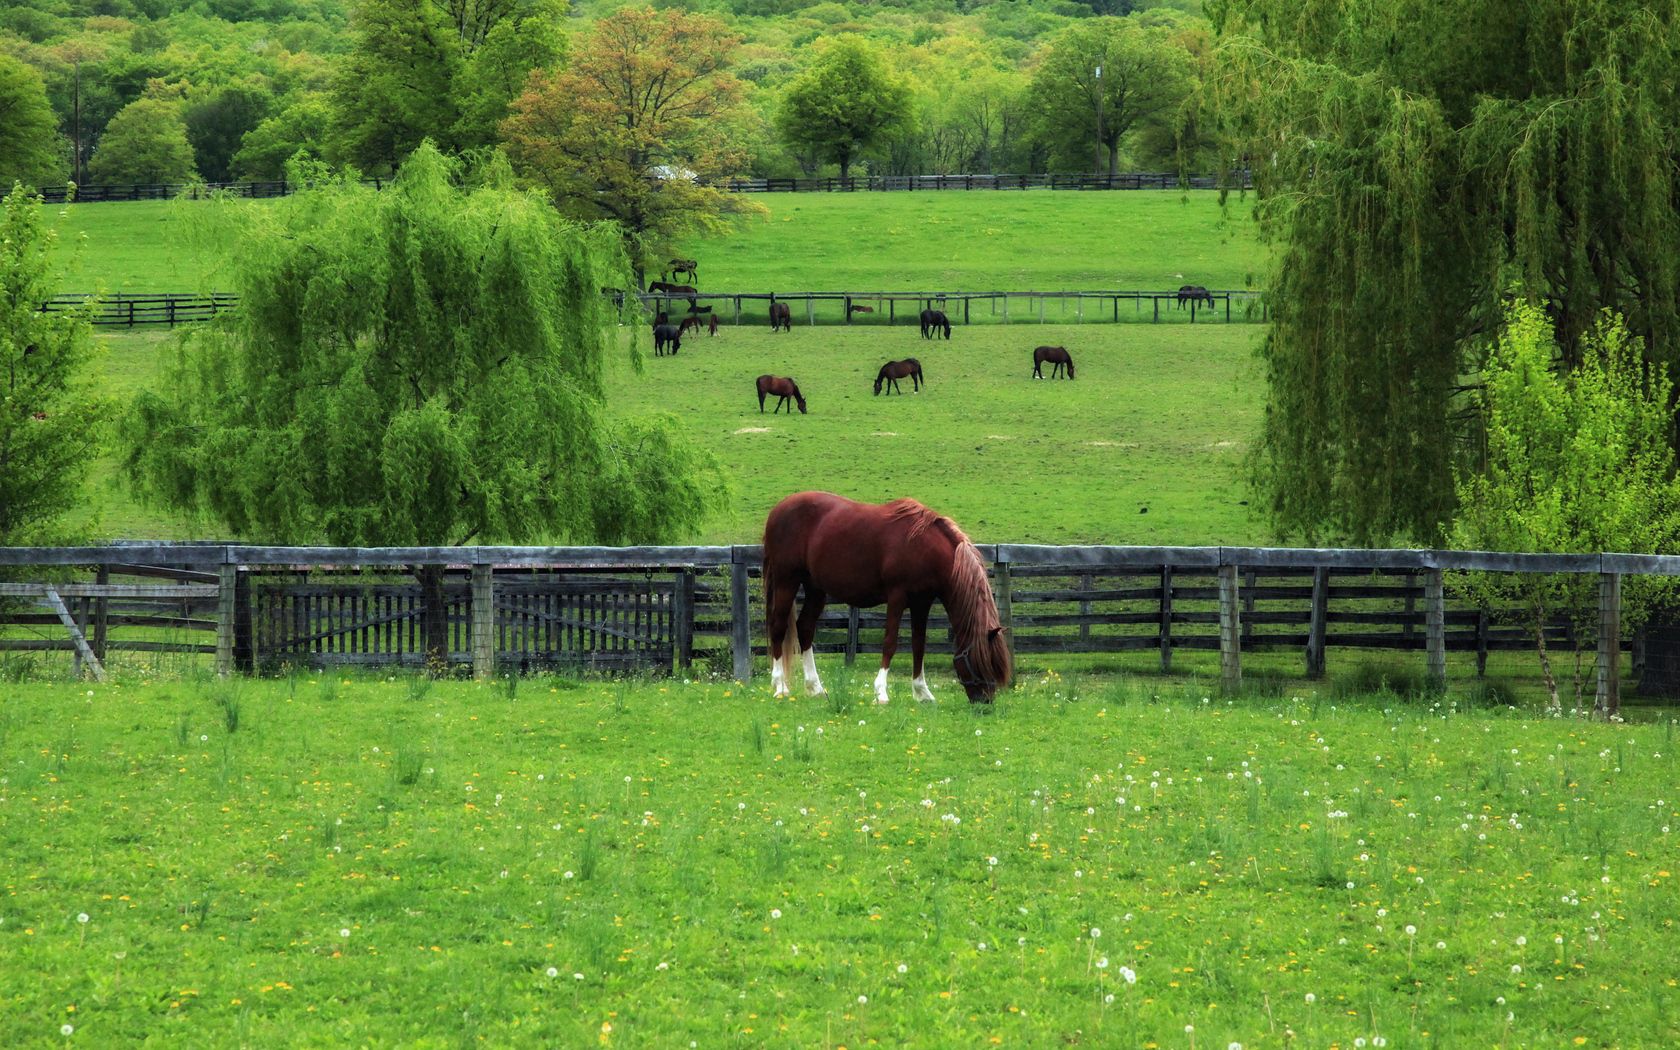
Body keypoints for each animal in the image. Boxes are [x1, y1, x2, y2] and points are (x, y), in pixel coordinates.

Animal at [762, 490, 1007, 705]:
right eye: (983, 663)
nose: (985, 702)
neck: (924, 546)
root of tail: (778, 510)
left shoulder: (922, 602)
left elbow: (919, 645)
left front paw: (922, 692)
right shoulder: (897, 597)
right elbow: (890, 642)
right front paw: (881, 693)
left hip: (815, 588)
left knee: (805, 627)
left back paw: (816, 688)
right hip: (787, 580)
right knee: (778, 627)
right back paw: (780, 687)